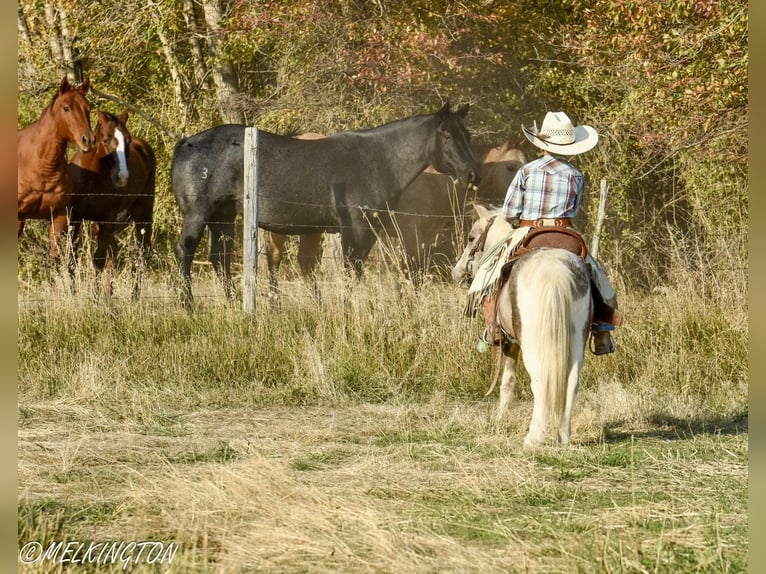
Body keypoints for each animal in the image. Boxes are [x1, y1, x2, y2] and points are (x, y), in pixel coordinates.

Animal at [69, 108, 158, 300]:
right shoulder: (75, 218)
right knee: (114, 251)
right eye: (105, 139)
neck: (90, 178)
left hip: (142, 213)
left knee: (142, 252)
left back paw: (134, 296)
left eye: (127, 140)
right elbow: (73, 258)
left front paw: (97, 298)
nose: (122, 176)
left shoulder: (107, 218)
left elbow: (99, 260)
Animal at [172, 103, 480, 306]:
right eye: (447, 136)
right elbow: (352, 272)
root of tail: (186, 143)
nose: (472, 174)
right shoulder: (356, 230)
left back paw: (234, 301)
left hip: (222, 217)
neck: (377, 160)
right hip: (199, 215)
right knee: (185, 251)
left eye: (468, 136)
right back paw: (187, 304)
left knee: (219, 258)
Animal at [456, 206, 592, 450]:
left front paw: (499, 419)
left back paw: (533, 438)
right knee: (572, 381)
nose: (457, 271)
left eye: (471, 237)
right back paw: (563, 437)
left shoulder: (510, 342)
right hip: (577, 339)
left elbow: (507, 382)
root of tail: (555, 269)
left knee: (539, 381)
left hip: (531, 342)